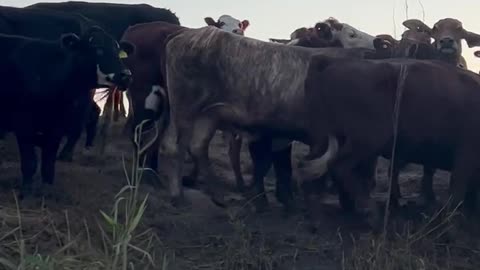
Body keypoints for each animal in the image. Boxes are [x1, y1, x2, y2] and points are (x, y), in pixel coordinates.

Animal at [0, 28, 133, 197]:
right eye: (98, 49)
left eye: (118, 51)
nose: (126, 75)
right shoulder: (23, 124)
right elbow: (30, 162)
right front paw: (26, 191)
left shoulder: (57, 129)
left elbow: (48, 163)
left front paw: (47, 189)